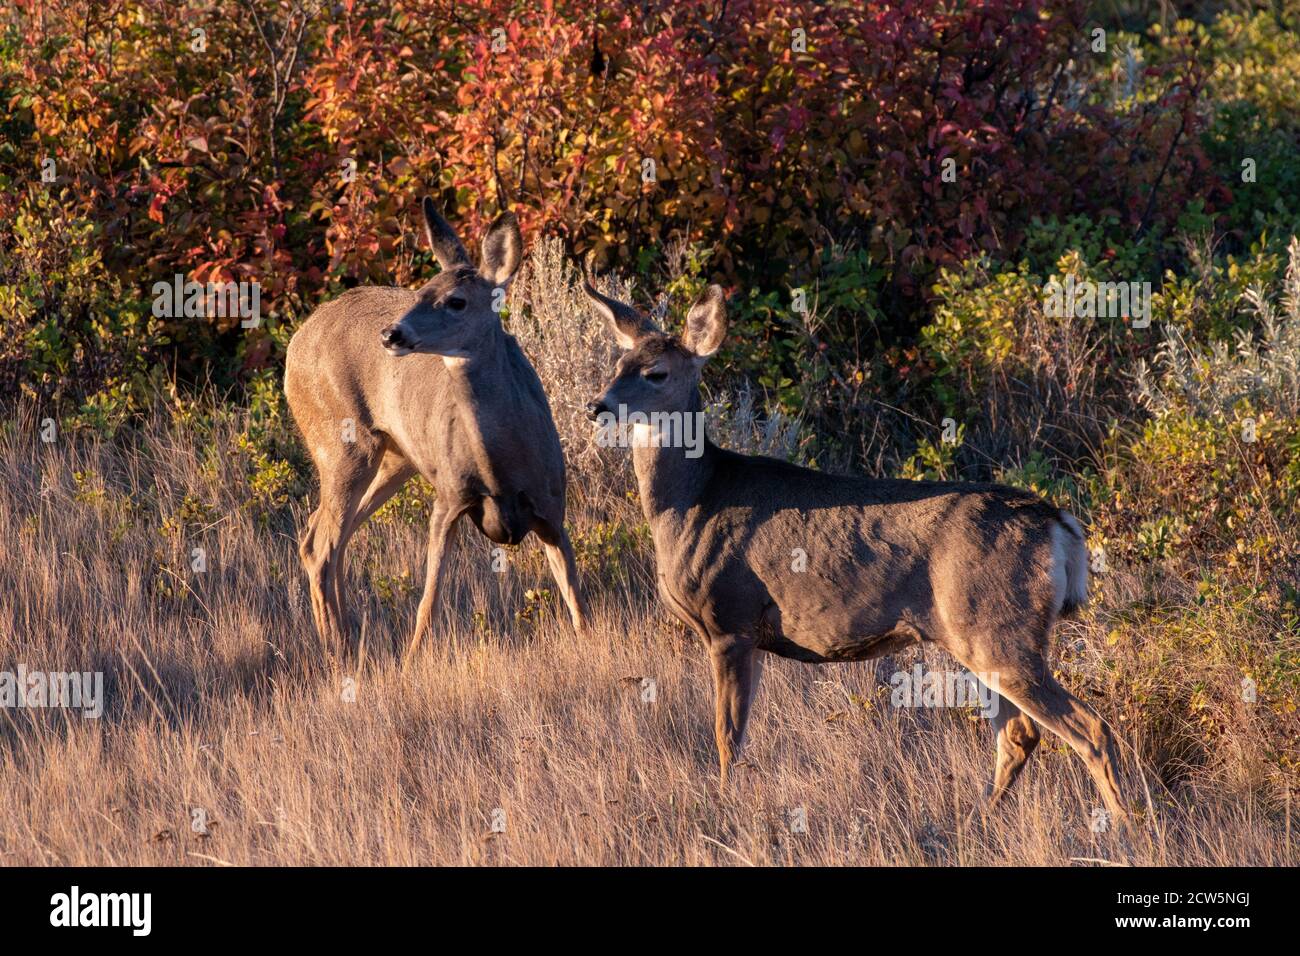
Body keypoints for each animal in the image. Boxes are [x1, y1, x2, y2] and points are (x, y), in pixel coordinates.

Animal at [284, 198, 588, 665]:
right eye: (423, 290)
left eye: (456, 301)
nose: (391, 333)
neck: (504, 462)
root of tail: (293, 346)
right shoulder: (448, 497)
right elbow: (429, 598)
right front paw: (411, 661)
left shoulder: (553, 507)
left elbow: (575, 598)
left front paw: (591, 646)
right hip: (341, 441)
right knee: (321, 542)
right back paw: (339, 650)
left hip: (395, 458)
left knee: (331, 536)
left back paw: (349, 637)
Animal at [581, 279, 1129, 827]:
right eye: (618, 363)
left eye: (656, 373)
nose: (597, 406)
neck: (694, 498)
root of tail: (1057, 525)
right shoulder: (751, 635)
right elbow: (738, 735)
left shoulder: (729, 619)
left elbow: (726, 737)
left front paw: (721, 804)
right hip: (985, 637)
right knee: (1020, 735)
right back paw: (980, 816)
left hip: (999, 630)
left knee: (1091, 730)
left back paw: (1125, 827)